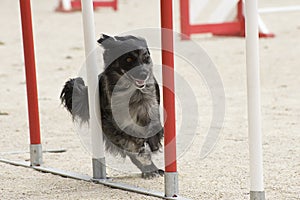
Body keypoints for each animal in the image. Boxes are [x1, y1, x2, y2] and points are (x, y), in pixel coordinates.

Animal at [60, 34, 164, 178]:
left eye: (146, 57)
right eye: (128, 59)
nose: (144, 74)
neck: (132, 92)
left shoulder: (150, 106)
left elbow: (153, 125)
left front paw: (154, 142)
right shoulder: (112, 126)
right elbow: (133, 145)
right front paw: (145, 157)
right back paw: (149, 169)